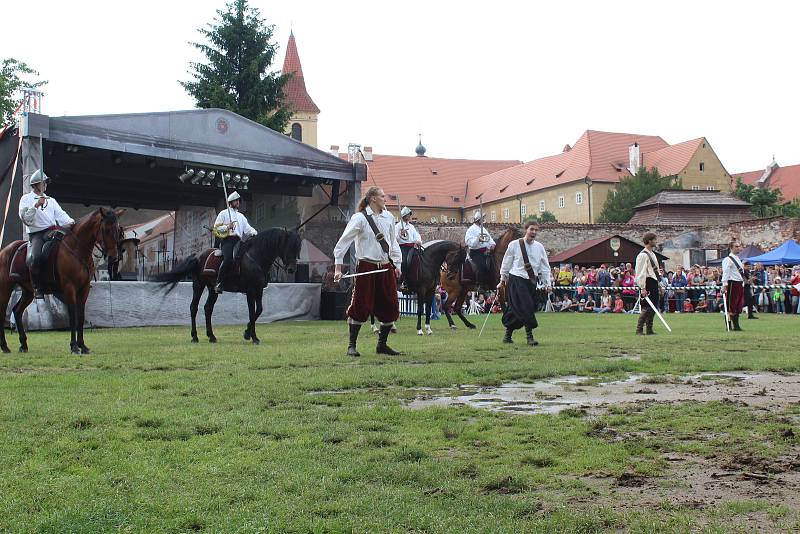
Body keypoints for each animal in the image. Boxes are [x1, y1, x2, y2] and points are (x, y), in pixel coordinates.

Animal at [0, 209, 123, 356]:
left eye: (118, 229)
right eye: (106, 229)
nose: (113, 257)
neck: (76, 250)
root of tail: (4, 251)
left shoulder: (84, 289)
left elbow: (80, 316)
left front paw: (83, 346)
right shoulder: (69, 288)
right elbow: (72, 316)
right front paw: (74, 347)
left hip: (28, 292)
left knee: (17, 311)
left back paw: (23, 345)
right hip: (5, 289)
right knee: (2, 313)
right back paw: (5, 347)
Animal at [152, 228, 302, 346]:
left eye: (298, 248)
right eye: (288, 246)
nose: (291, 270)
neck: (256, 258)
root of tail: (197, 255)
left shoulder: (259, 290)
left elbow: (259, 310)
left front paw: (247, 333)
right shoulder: (250, 291)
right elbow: (252, 312)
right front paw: (253, 337)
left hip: (213, 289)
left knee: (208, 308)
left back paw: (211, 336)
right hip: (198, 285)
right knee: (193, 307)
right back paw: (195, 337)